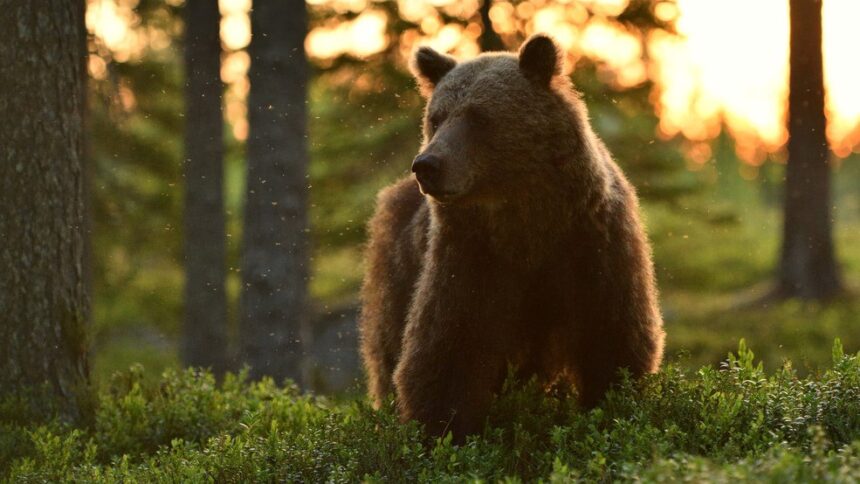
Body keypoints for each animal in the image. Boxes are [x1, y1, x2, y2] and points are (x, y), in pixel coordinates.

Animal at [356, 34, 664, 440]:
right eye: (436, 118)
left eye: (478, 116)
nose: (427, 165)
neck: (527, 220)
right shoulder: (472, 255)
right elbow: (449, 348)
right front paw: (443, 431)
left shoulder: (591, 243)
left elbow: (613, 338)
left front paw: (609, 407)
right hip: (398, 269)